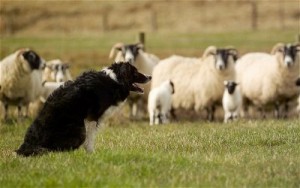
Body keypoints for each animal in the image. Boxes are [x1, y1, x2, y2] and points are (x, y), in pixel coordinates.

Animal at [15, 61, 151, 156]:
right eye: (135, 72)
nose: (150, 76)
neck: (114, 80)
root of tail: (27, 146)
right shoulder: (92, 117)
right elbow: (90, 138)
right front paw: (91, 154)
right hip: (79, 131)